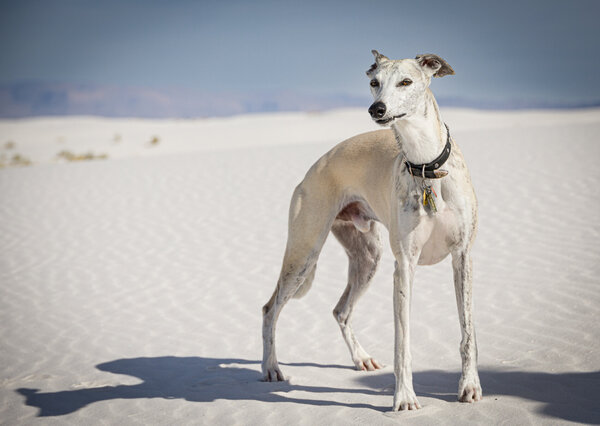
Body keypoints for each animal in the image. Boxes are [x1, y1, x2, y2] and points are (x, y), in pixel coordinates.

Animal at [262, 51, 482, 412]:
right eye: (374, 82)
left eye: (406, 81)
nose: (376, 109)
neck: (425, 165)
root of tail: (311, 170)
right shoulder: (404, 266)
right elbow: (402, 341)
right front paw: (404, 398)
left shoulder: (462, 256)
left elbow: (467, 331)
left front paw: (470, 387)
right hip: (304, 253)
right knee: (270, 309)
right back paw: (270, 368)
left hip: (367, 258)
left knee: (340, 310)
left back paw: (361, 358)